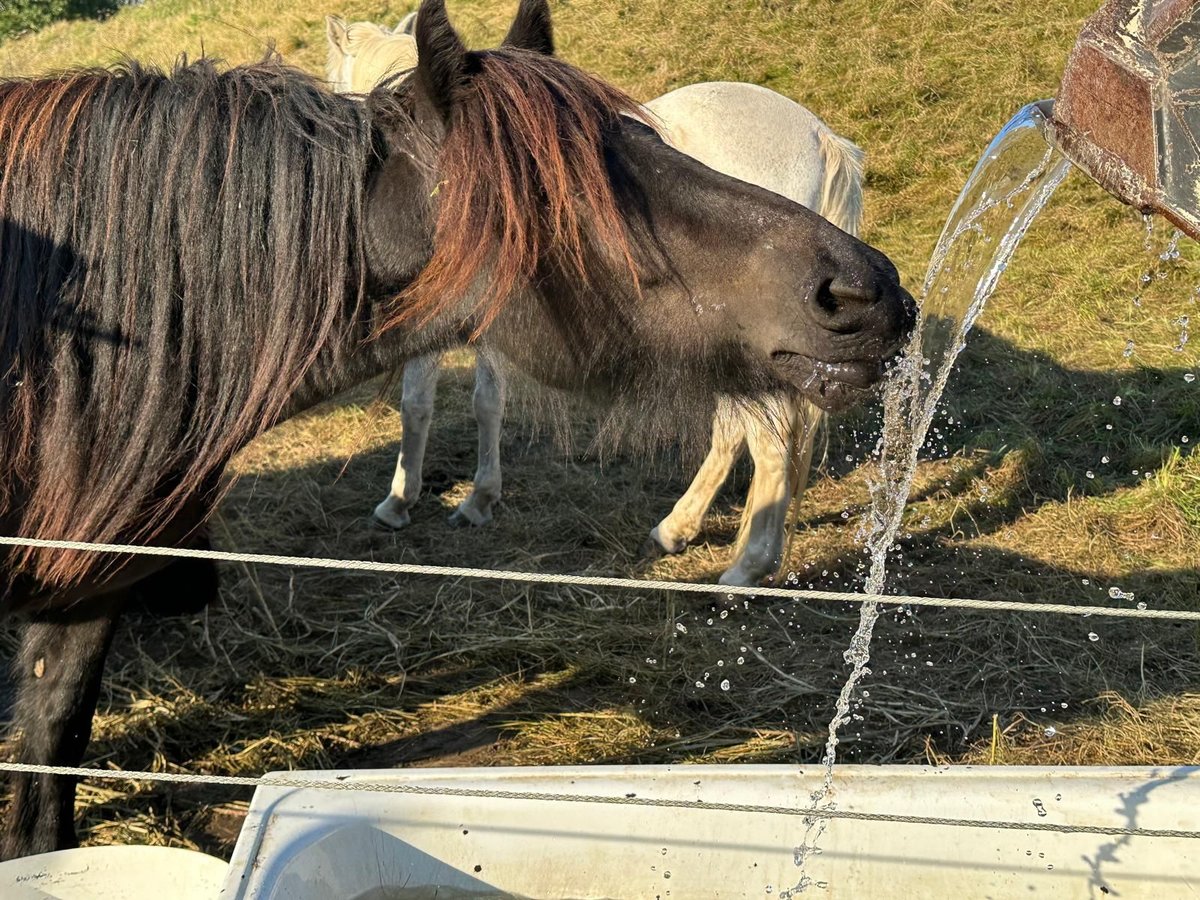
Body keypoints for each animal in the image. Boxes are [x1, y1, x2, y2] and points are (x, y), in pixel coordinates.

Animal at [326, 19, 864, 592]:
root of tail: (819, 137)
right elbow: (487, 402)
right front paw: (479, 499)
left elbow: (418, 404)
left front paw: (399, 501)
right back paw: (678, 529)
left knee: (768, 441)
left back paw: (745, 567)